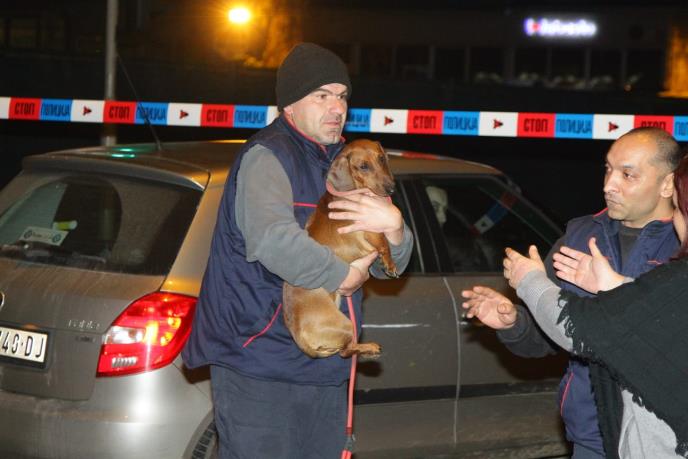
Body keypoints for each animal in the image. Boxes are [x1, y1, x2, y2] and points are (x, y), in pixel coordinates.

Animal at [283, 139, 398, 359]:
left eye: (381, 159)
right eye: (363, 166)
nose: (391, 189)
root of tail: (300, 339)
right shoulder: (369, 229)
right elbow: (384, 243)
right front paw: (390, 264)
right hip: (346, 324)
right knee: (346, 351)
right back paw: (369, 347)